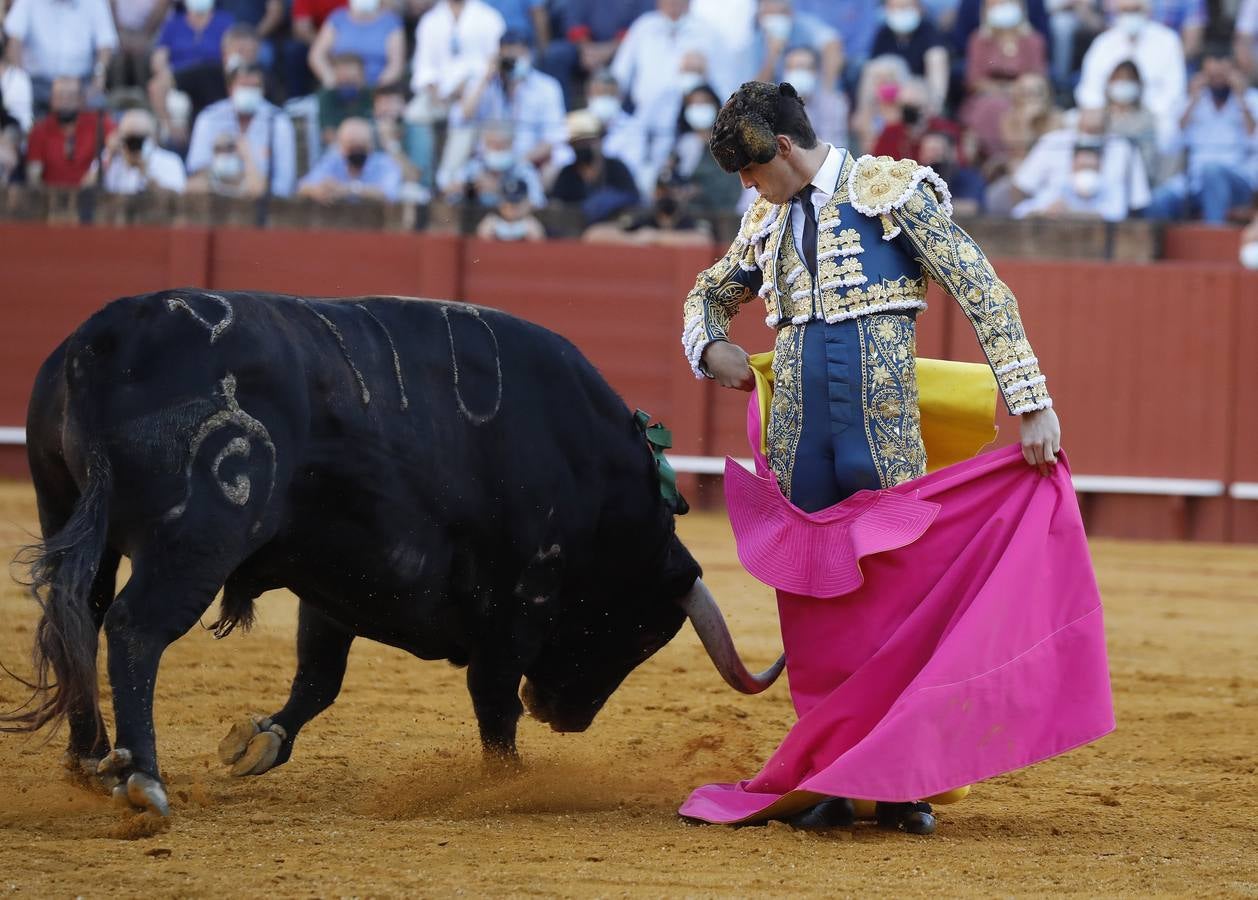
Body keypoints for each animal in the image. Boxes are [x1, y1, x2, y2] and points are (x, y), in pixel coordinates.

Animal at [4, 290, 779, 815]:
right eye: (646, 634)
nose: (567, 716)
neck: (593, 470)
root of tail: (101, 341)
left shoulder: (340, 581)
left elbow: (319, 680)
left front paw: (258, 740)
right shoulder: (519, 603)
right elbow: (493, 703)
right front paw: (507, 785)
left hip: (68, 509)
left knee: (80, 617)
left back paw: (89, 760)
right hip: (194, 540)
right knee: (135, 630)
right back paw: (143, 778)